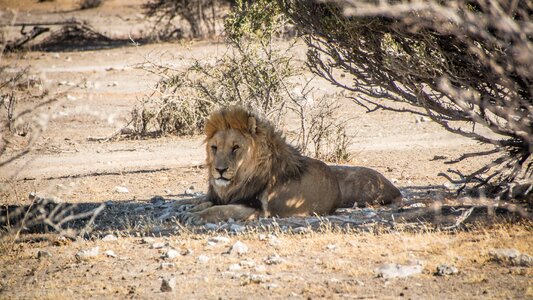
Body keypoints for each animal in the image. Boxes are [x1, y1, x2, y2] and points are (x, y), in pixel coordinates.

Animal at [177, 106, 402, 225]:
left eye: (235, 148)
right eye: (215, 147)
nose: (220, 170)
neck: (237, 181)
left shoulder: (256, 209)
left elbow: (220, 210)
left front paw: (192, 216)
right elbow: (209, 203)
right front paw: (190, 207)